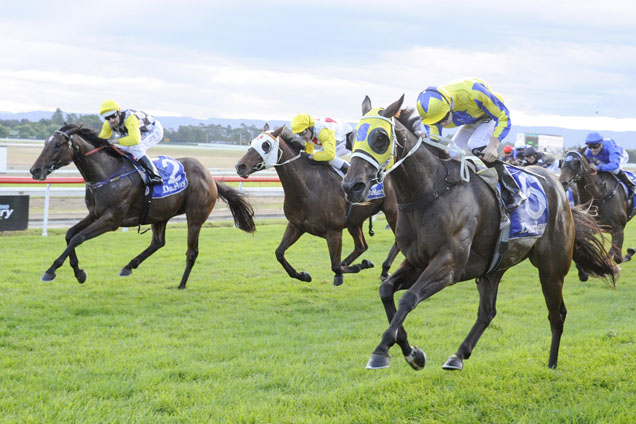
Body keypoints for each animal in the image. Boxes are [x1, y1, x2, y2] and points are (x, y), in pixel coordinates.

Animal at [28, 122, 255, 288]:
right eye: (45, 143)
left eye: (57, 145)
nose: (34, 170)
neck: (107, 173)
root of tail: (210, 177)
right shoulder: (94, 214)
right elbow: (69, 235)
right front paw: (79, 272)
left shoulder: (111, 220)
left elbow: (78, 238)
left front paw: (51, 271)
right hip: (159, 215)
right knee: (158, 242)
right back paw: (129, 266)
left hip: (195, 218)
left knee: (192, 252)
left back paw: (181, 285)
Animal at [236, 124, 400, 286]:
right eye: (251, 142)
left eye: (266, 145)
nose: (240, 166)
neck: (308, 188)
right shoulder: (296, 226)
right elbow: (279, 253)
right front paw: (303, 275)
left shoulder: (334, 231)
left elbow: (335, 266)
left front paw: (360, 265)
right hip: (355, 220)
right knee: (361, 246)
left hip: (393, 213)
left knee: (397, 240)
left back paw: (384, 269)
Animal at [342, 97, 616, 372]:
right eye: (353, 137)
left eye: (380, 138)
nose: (351, 186)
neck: (429, 192)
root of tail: (559, 187)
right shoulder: (416, 262)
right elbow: (386, 290)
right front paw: (413, 354)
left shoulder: (449, 265)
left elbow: (408, 299)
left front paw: (381, 351)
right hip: (494, 267)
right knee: (488, 312)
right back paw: (458, 355)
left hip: (552, 267)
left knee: (556, 314)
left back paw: (551, 365)